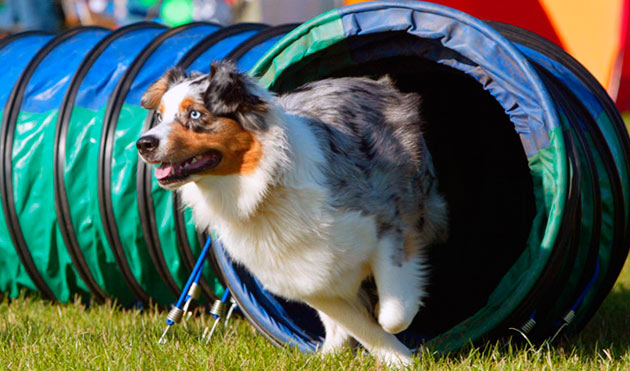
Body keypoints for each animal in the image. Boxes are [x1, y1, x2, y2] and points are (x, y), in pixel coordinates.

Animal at [137, 61, 450, 366]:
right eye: (160, 117)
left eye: (194, 114)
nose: (143, 144)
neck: (264, 188)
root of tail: (376, 82)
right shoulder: (301, 275)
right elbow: (358, 323)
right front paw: (396, 358)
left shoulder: (390, 227)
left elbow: (392, 315)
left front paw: (400, 350)